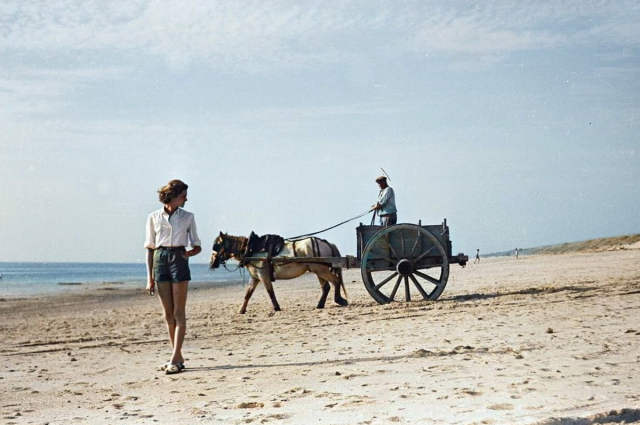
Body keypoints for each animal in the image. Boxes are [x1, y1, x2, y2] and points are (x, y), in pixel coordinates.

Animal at [210, 230, 348, 314]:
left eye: (216, 246)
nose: (212, 263)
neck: (251, 250)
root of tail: (327, 243)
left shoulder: (263, 275)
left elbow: (270, 292)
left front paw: (276, 307)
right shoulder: (255, 277)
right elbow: (248, 294)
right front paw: (241, 310)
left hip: (320, 269)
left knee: (336, 281)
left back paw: (339, 300)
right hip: (318, 270)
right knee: (326, 287)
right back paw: (320, 305)